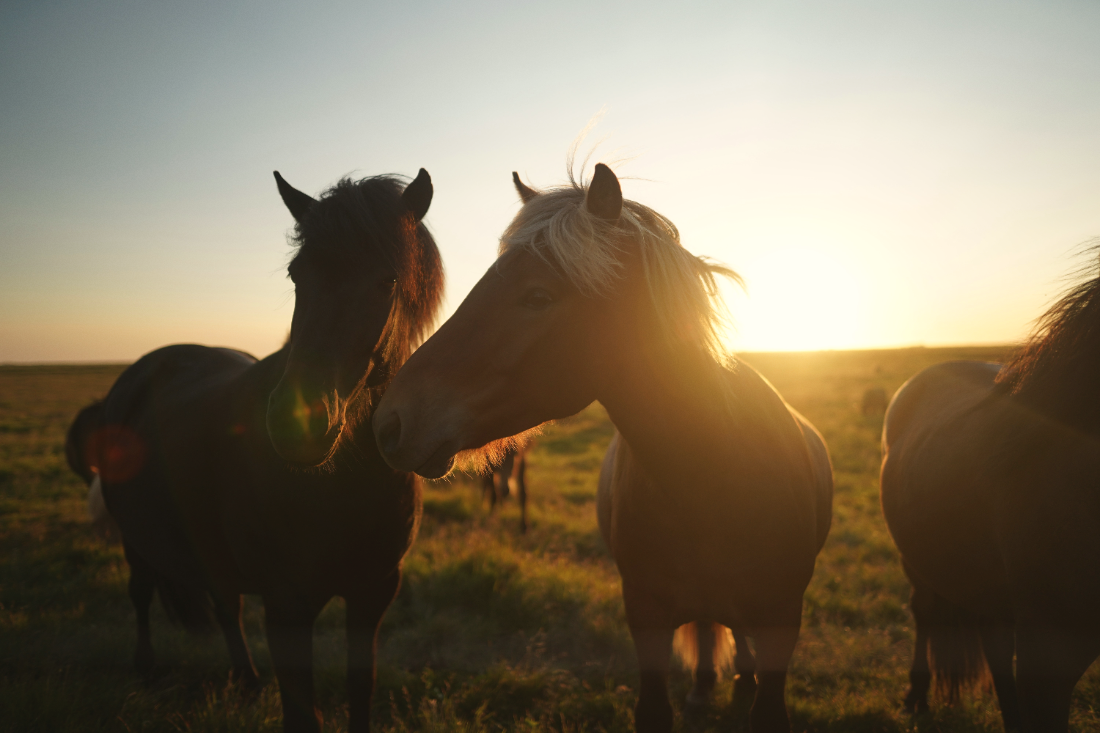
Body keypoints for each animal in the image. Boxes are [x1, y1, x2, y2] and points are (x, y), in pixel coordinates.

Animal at [67, 169, 444, 733]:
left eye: (389, 280)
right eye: (296, 275)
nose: (297, 422)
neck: (345, 486)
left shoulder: (373, 592)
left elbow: (361, 687)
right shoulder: (287, 606)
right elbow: (302, 712)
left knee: (226, 607)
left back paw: (245, 680)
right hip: (136, 540)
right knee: (141, 593)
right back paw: (147, 670)